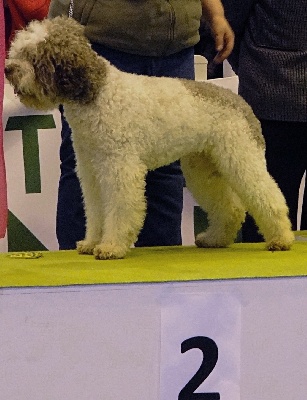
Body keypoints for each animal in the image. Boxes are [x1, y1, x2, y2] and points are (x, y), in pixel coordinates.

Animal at [4, 16, 294, 260]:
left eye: (33, 56)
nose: (8, 69)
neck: (98, 94)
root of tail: (238, 99)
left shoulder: (119, 167)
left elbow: (120, 208)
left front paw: (111, 247)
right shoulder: (91, 170)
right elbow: (96, 210)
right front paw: (91, 242)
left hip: (240, 157)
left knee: (267, 195)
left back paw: (281, 239)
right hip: (203, 166)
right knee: (230, 207)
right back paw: (215, 239)